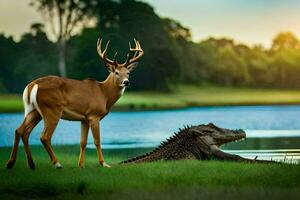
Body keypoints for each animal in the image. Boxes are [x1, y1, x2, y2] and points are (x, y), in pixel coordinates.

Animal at [5, 37, 144, 169]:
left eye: (128, 73)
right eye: (116, 72)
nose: (126, 82)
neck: (104, 94)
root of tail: (33, 85)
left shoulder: (84, 119)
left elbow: (83, 142)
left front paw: (81, 165)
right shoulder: (94, 115)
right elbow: (97, 140)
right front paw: (104, 163)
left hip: (34, 111)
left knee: (21, 131)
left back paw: (19, 164)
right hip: (51, 110)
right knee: (44, 136)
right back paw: (57, 164)